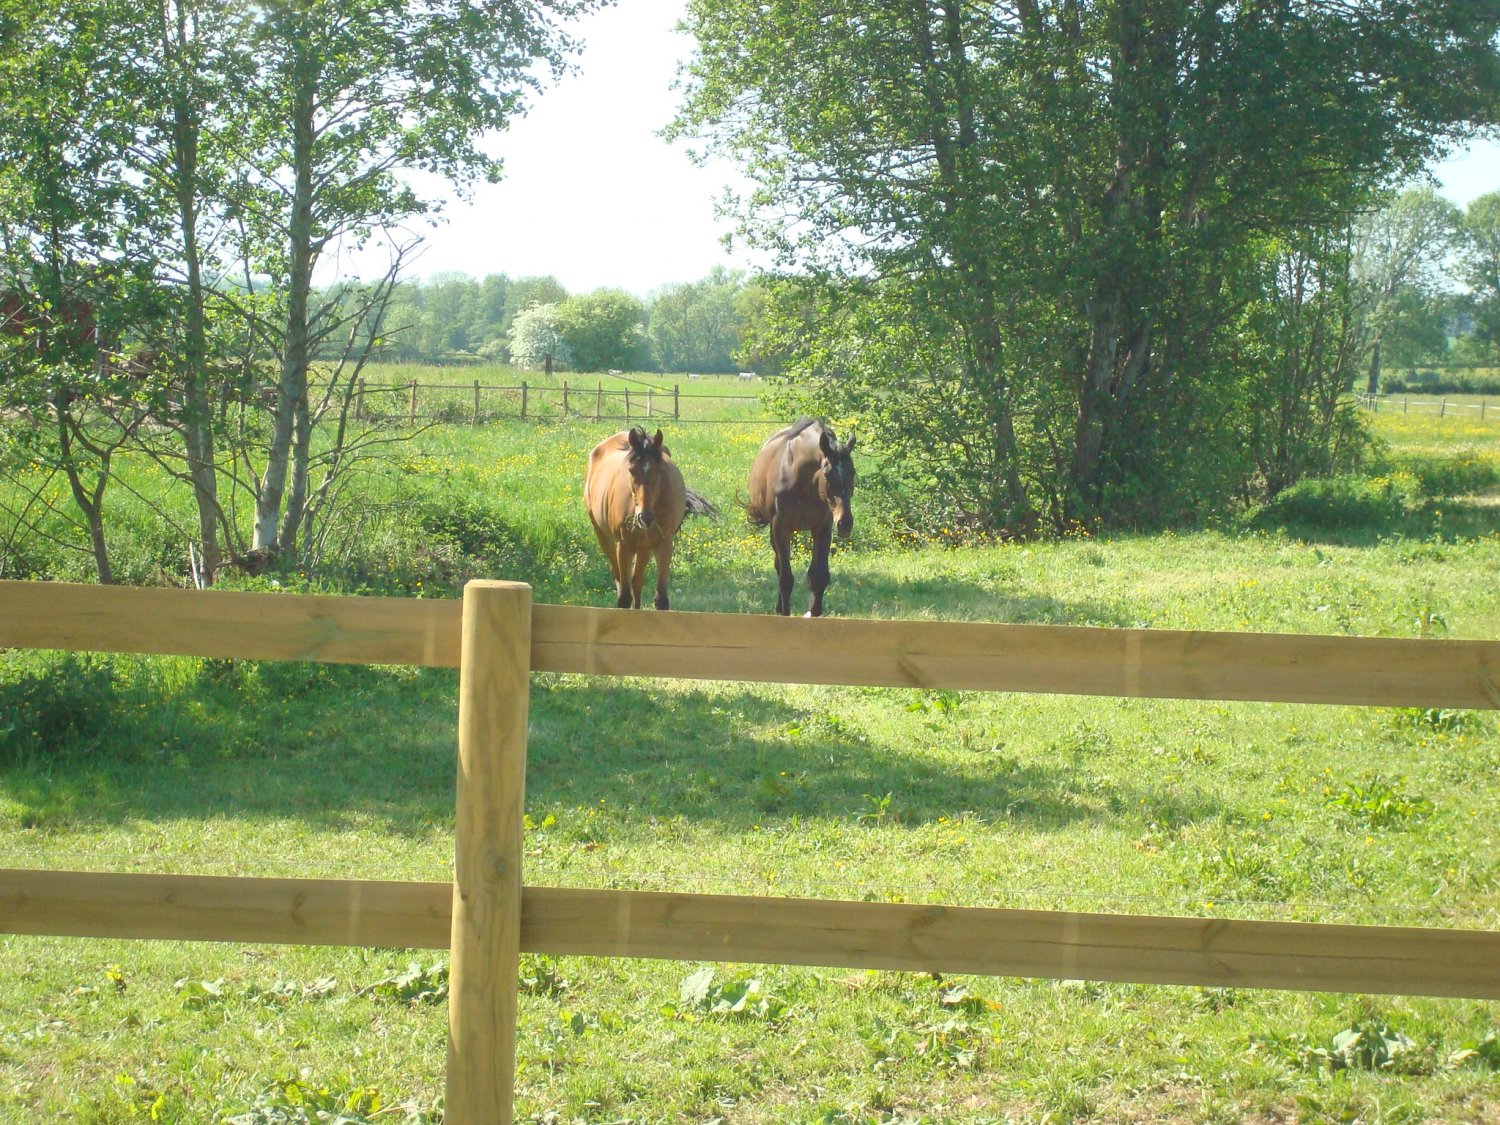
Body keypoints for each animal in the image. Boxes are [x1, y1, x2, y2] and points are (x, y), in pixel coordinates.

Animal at [584, 426, 719, 609]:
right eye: (631, 470)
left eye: (659, 470)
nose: (645, 517)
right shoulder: (623, 546)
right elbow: (624, 598)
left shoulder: (664, 544)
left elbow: (660, 599)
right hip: (604, 536)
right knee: (618, 575)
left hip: (644, 548)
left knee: (636, 582)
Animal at [746, 417, 857, 617]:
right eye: (827, 473)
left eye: (852, 472)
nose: (845, 523)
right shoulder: (780, 528)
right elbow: (786, 578)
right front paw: (785, 613)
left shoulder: (822, 528)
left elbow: (818, 576)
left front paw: (814, 612)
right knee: (779, 566)